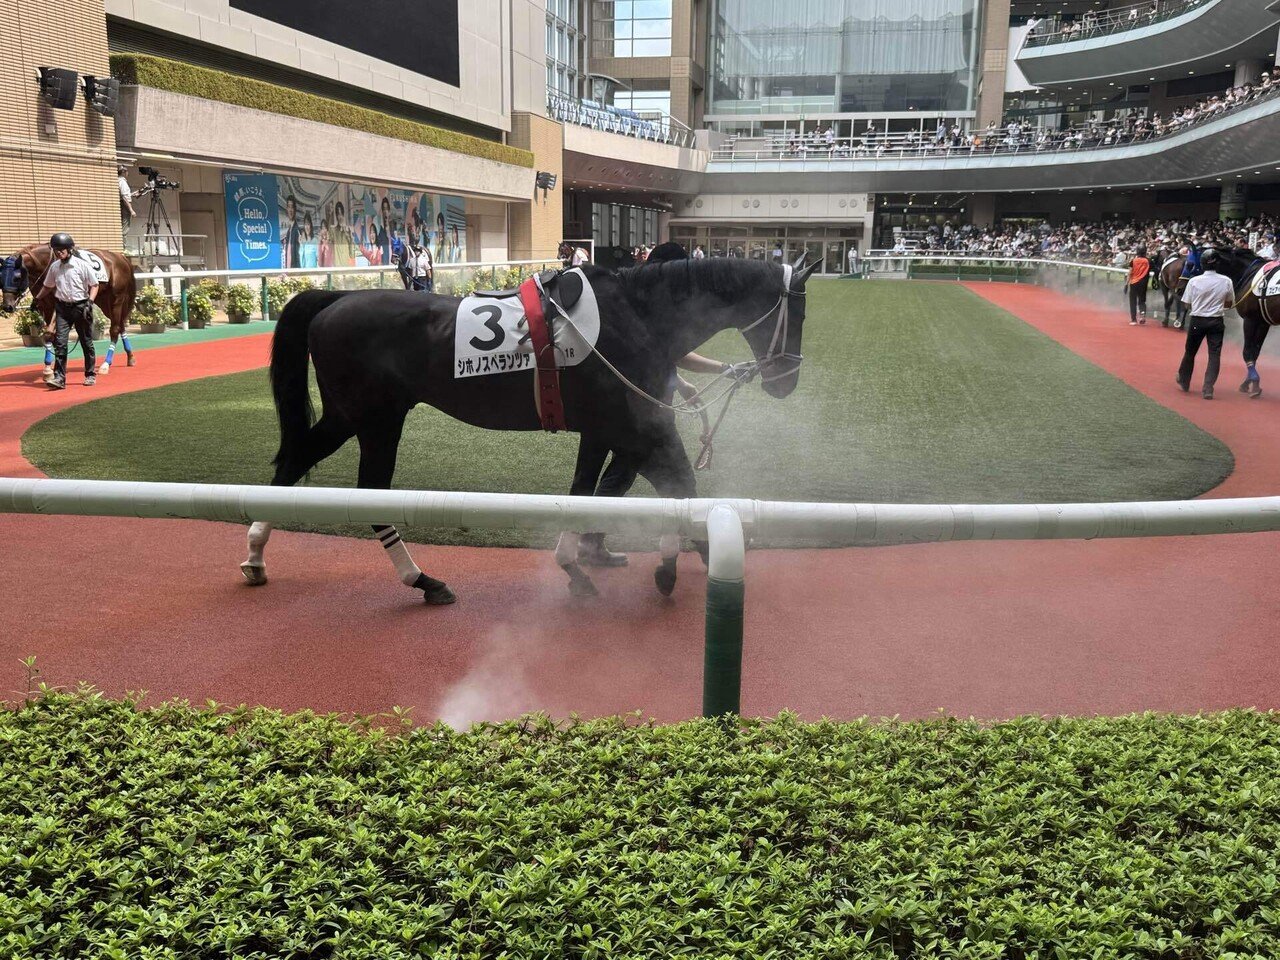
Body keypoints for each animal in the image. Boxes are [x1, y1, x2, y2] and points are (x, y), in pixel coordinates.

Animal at [0, 244, 138, 378]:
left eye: (17, 278)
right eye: (1, 277)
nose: (7, 306)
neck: (45, 266)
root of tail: (121, 258)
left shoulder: (57, 304)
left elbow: (49, 334)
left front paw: (48, 370)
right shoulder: (45, 306)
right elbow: (54, 337)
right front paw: (52, 367)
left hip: (117, 300)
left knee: (114, 329)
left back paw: (106, 364)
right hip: (104, 302)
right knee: (120, 325)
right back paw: (130, 357)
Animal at [241, 255, 815, 602]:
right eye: (800, 314)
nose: (786, 381)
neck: (638, 317)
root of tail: (334, 299)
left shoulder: (604, 430)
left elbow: (590, 493)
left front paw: (579, 567)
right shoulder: (637, 427)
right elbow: (679, 484)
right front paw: (672, 566)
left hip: (358, 417)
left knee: (299, 463)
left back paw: (256, 556)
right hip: (372, 419)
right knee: (360, 489)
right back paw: (420, 579)